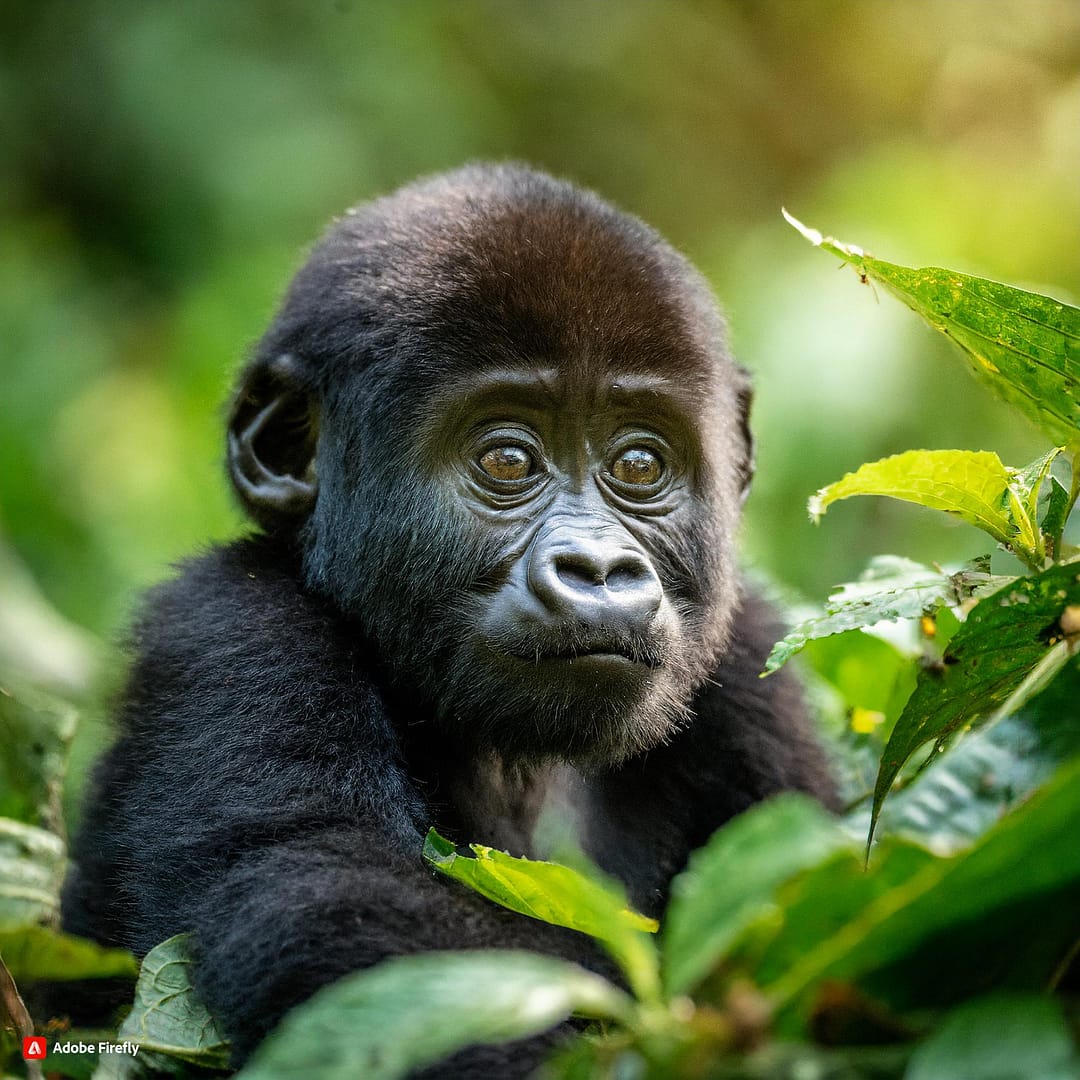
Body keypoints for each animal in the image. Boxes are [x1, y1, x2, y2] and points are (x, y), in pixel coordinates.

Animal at [63, 164, 833, 1075]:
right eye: (506, 458)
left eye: (640, 464)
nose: (599, 571)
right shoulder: (232, 630)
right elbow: (331, 893)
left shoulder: (751, 659)